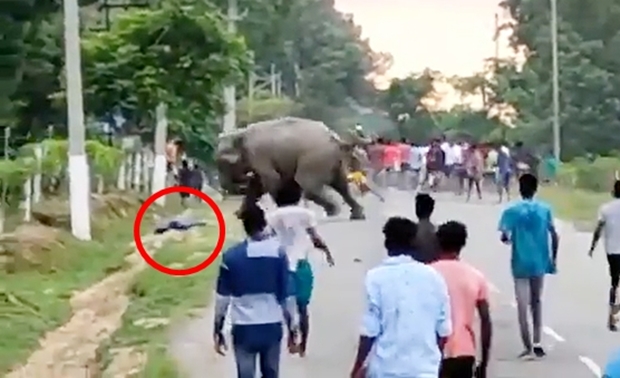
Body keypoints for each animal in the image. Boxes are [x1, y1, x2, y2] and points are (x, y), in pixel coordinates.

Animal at [218, 116, 370, 220]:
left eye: (221, 164)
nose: (226, 190)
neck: (240, 133)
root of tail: (334, 138)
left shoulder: (258, 154)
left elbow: (272, 180)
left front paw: (283, 209)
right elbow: (256, 185)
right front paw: (240, 214)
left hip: (315, 158)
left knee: (307, 184)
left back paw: (333, 211)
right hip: (333, 161)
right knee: (341, 184)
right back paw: (357, 214)